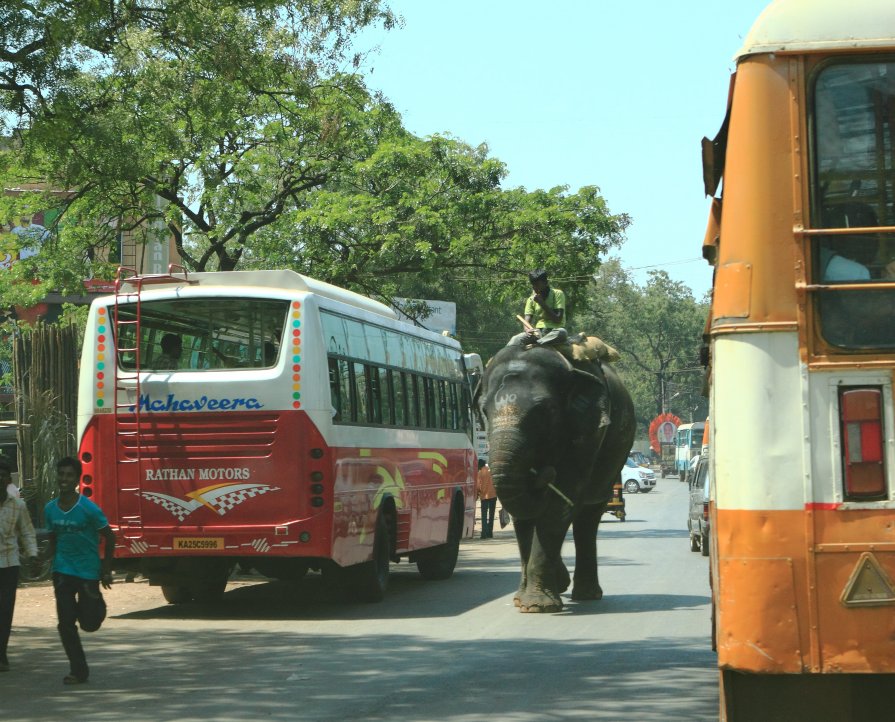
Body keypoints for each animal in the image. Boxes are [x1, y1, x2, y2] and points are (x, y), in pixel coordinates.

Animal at [476, 340, 636, 612]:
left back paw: (586, 594)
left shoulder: (588, 432)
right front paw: (527, 599)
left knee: (588, 516)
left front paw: (537, 605)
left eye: (544, 411)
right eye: (485, 410)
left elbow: (562, 500)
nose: (544, 471)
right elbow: (525, 513)